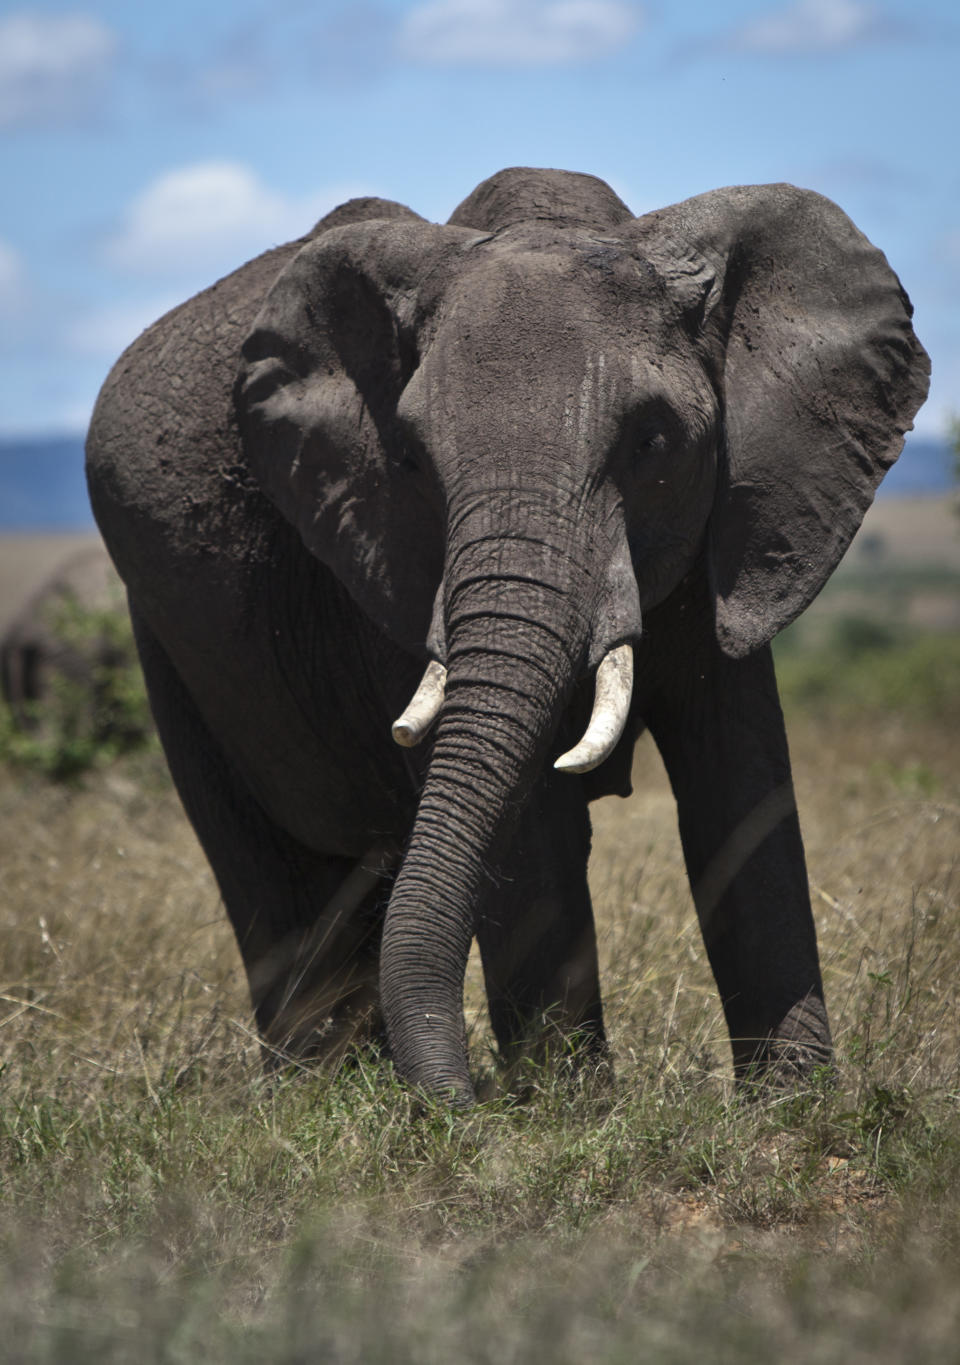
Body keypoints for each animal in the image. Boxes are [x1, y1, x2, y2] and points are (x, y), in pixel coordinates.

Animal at [86, 167, 928, 1108]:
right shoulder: (387, 559)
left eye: (653, 440)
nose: (459, 1101)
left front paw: (795, 1108)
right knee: (266, 870)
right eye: (410, 460)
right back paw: (320, 1093)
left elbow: (741, 778)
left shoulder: (734, 522)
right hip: (164, 638)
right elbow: (529, 831)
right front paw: (568, 1112)